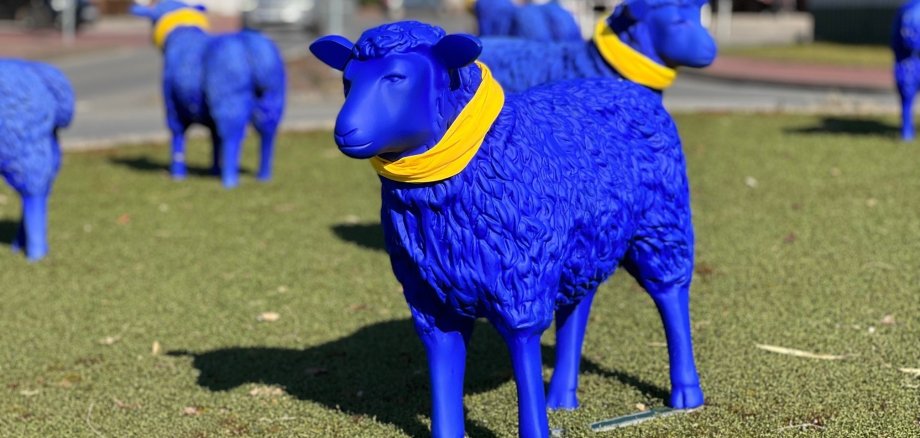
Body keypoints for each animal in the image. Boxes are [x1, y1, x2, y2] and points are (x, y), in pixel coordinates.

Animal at [130, 0, 284, 188]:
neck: (184, 35)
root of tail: (252, 48)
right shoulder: (209, 116)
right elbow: (214, 139)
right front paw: (214, 170)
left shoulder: (172, 107)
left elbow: (178, 136)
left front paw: (178, 174)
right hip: (271, 98)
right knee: (267, 133)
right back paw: (263, 176)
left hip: (229, 100)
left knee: (232, 135)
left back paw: (229, 180)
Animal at [312, 19, 700, 438]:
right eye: (348, 80)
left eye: (396, 77)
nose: (344, 131)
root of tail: (633, 91)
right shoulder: (430, 296)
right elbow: (444, 360)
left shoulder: (520, 280)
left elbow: (522, 347)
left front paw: (535, 429)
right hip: (584, 242)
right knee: (577, 306)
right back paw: (561, 399)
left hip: (661, 224)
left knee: (671, 293)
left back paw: (686, 395)